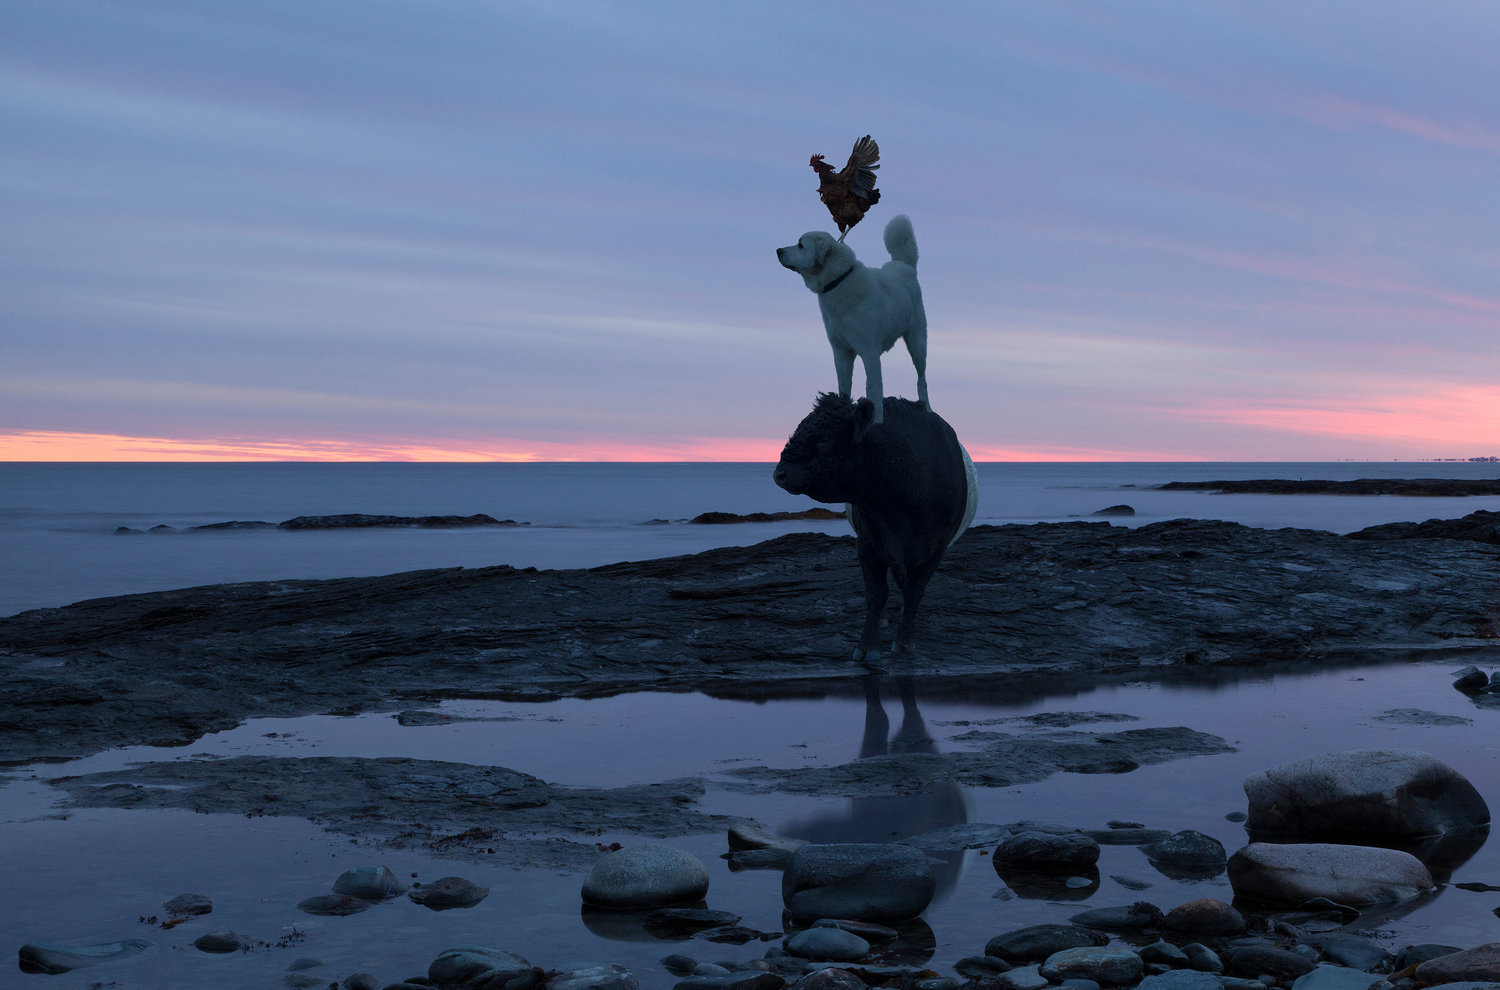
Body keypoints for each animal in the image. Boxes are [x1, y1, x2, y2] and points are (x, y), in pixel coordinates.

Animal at [780, 214, 930, 423]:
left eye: (801, 245)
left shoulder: (869, 352)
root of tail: (905, 265)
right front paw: (839, 410)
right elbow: (844, 387)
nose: (778, 250)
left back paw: (928, 409)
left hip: (917, 342)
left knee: (922, 379)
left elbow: (873, 389)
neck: (838, 280)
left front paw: (876, 421)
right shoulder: (841, 352)